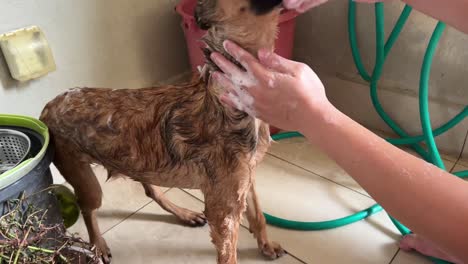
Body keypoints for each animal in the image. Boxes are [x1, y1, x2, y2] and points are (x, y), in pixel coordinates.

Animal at [39, 0, 286, 264]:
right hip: (84, 177)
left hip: (140, 162)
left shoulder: (245, 178)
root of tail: (49, 105)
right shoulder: (224, 209)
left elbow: (258, 215)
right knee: (87, 208)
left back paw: (183, 213)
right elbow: (229, 253)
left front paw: (267, 245)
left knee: (150, 189)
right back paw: (98, 244)